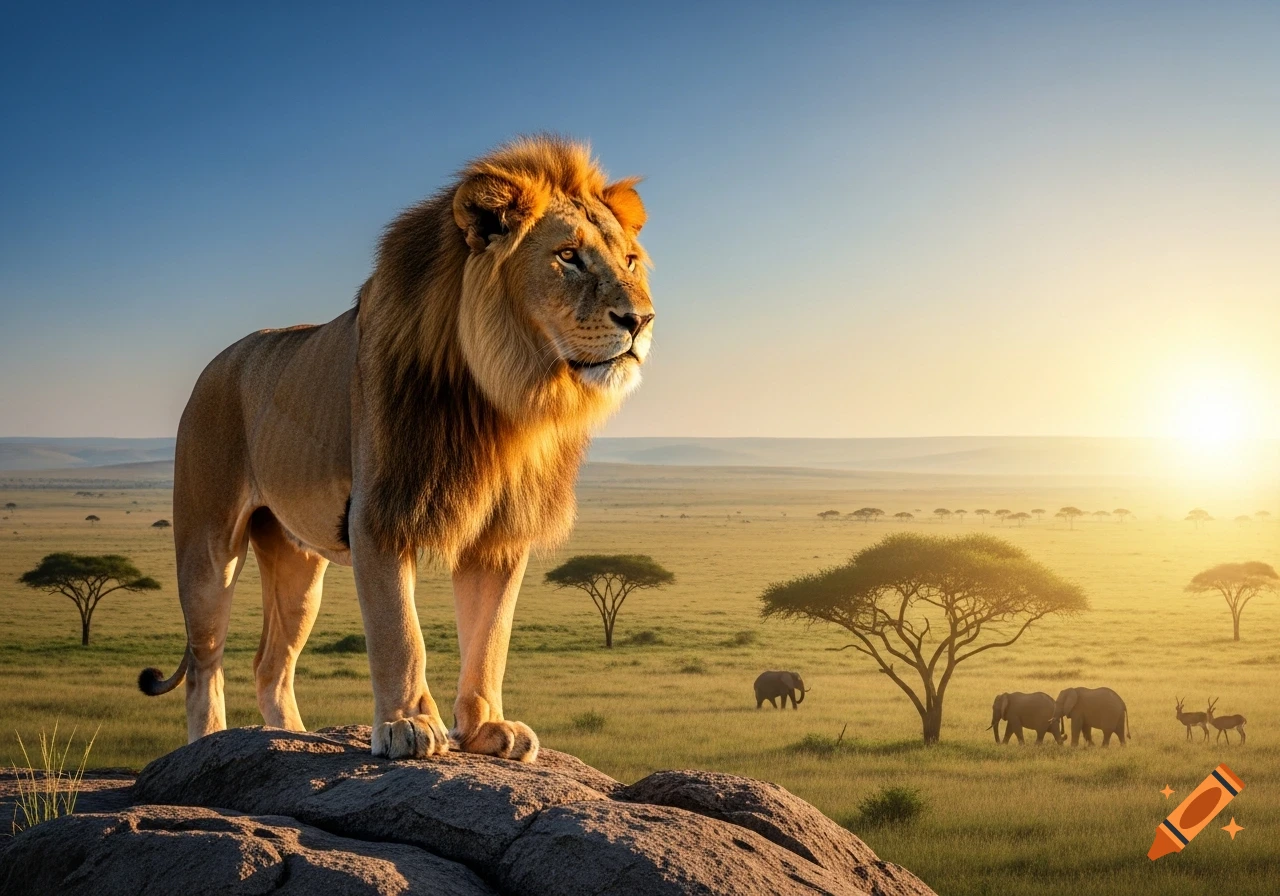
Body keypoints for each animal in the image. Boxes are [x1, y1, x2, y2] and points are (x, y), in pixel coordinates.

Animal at [139, 136, 654, 762]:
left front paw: (487, 729)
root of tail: (217, 361)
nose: (641, 319)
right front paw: (408, 724)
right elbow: (399, 632)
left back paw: (288, 738)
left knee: (270, 665)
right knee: (204, 661)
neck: (506, 397)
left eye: (630, 261)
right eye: (569, 256)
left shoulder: (502, 535)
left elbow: (491, 638)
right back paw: (211, 744)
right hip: (207, 547)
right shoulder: (380, 512)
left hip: (297, 565)